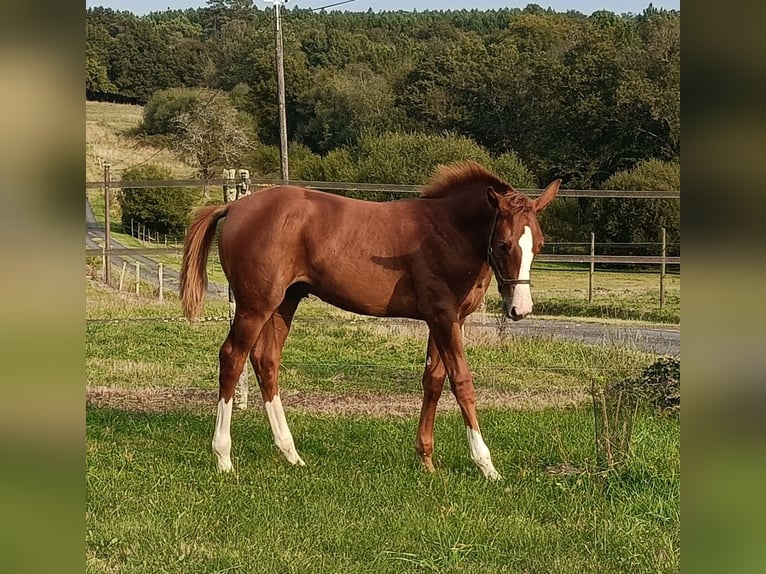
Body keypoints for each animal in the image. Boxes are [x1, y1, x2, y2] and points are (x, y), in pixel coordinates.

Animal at [182, 163, 560, 482]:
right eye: (503, 243)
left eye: (539, 245)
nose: (520, 309)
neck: (447, 231)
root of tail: (235, 208)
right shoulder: (444, 316)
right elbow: (462, 382)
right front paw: (486, 465)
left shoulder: (444, 320)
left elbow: (434, 380)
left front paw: (426, 459)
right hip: (254, 306)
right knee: (232, 357)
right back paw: (224, 457)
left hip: (283, 304)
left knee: (266, 362)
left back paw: (291, 454)